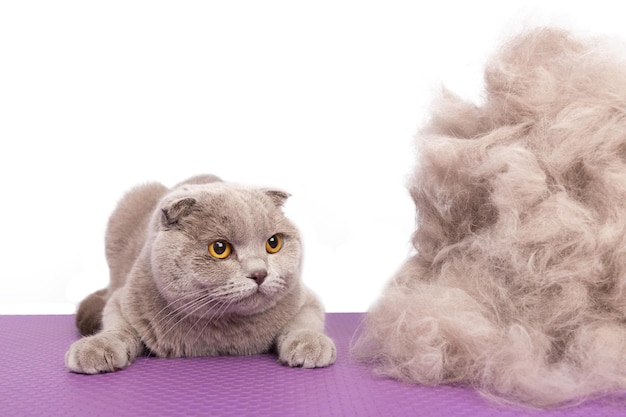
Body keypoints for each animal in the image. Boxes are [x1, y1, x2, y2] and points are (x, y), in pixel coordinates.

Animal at [65, 174, 334, 372]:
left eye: (273, 243)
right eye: (220, 248)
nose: (260, 273)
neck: (225, 331)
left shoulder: (306, 299)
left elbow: (304, 323)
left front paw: (311, 345)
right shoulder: (122, 301)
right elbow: (117, 329)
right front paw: (96, 348)